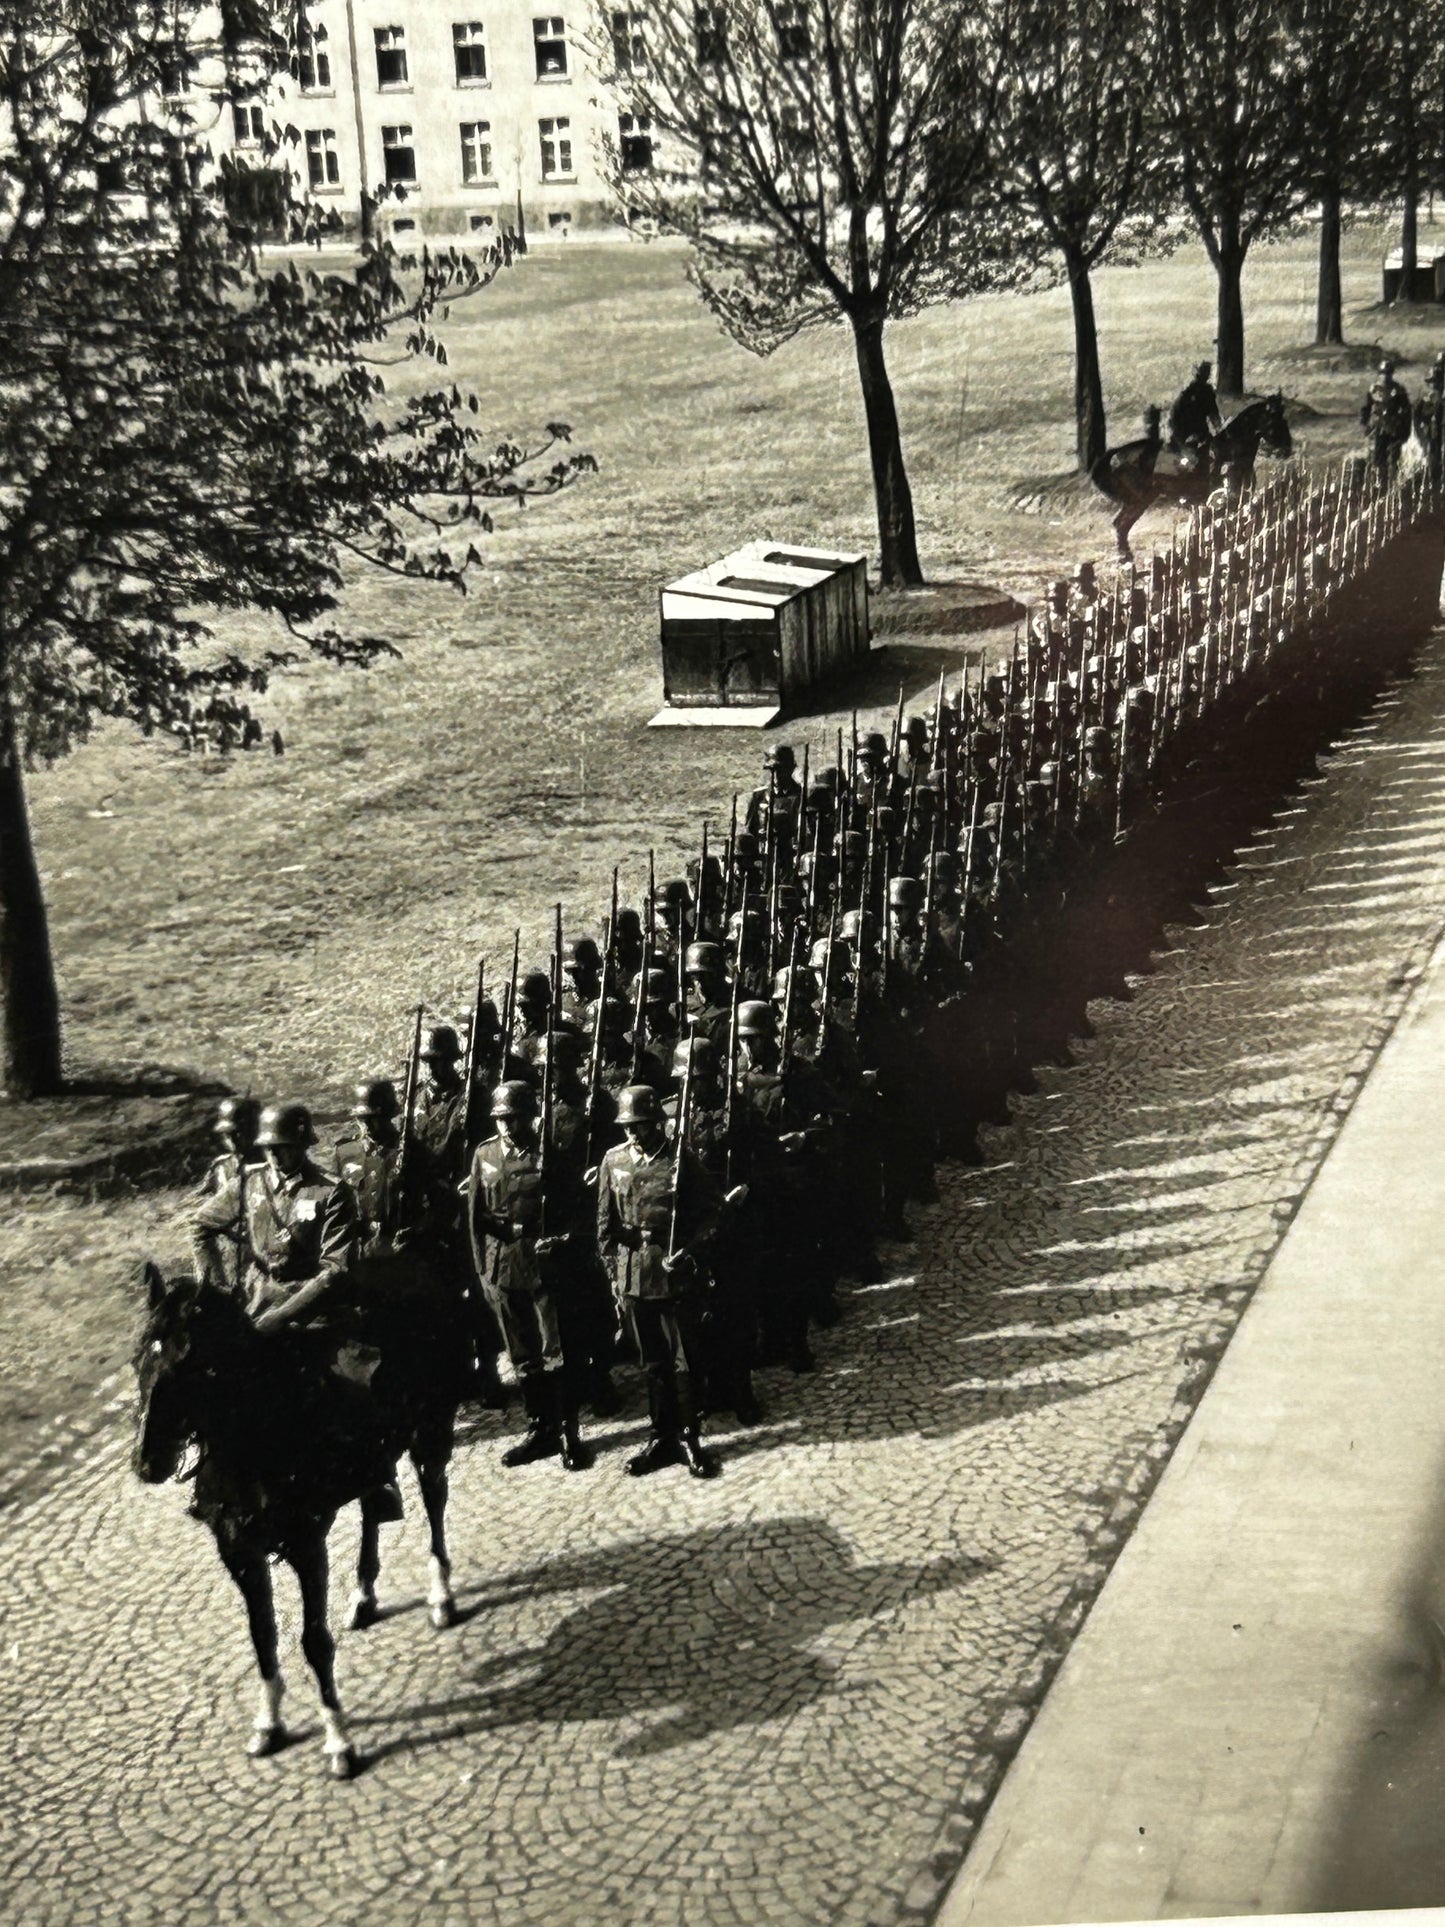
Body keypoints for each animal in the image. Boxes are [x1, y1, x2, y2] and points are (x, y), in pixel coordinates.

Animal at [133, 1256, 466, 1780]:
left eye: (195, 1366)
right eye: (140, 1360)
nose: (149, 1463)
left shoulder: (307, 1545)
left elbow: (314, 1641)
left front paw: (339, 1741)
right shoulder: (239, 1552)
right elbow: (262, 1636)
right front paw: (268, 1723)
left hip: (429, 1429)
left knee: (434, 1500)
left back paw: (440, 1595)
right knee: (373, 1509)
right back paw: (364, 1595)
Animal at [1094, 391, 1294, 558]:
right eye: (1275, 421)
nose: (1286, 449)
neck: (1229, 450)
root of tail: (1116, 455)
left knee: (1121, 525)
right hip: (1139, 499)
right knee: (1121, 524)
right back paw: (1125, 558)